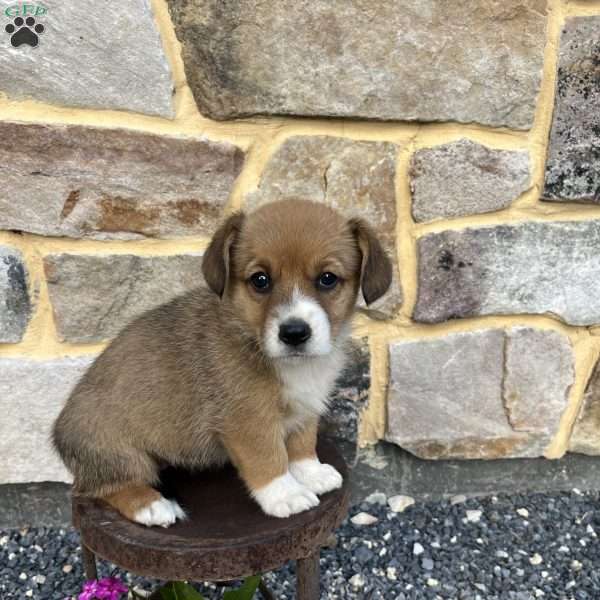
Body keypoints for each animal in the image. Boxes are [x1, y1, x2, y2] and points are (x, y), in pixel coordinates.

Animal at [51, 199, 394, 528]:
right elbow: (269, 460)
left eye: (327, 279)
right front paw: (287, 495)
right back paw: (153, 506)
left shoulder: (305, 409)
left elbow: (302, 445)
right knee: (106, 488)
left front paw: (312, 473)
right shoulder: (248, 422)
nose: (294, 333)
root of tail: (58, 433)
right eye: (260, 280)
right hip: (120, 453)